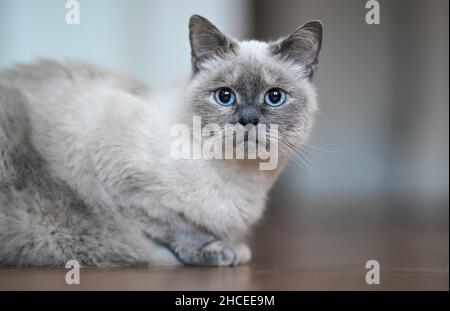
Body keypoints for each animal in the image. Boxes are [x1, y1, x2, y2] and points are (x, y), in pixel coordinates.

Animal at [0, 15, 324, 266]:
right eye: (224, 96)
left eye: (274, 97)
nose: (248, 119)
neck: (243, 182)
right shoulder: (121, 184)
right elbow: (175, 224)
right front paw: (219, 251)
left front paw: (233, 248)